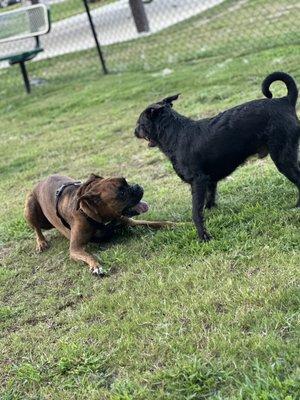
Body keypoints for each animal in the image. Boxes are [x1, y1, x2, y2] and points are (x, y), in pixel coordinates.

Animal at [24, 173, 172, 276]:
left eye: (127, 182)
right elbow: (89, 255)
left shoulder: (131, 222)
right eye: (122, 193)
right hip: (30, 207)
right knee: (37, 228)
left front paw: (175, 224)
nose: (137, 186)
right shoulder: (75, 249)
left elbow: (157, 223)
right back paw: (41, 242)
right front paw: (96, 266)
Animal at [135, 72, 298, 241]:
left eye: (139, 124)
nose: (134, 132)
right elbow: (209, 199)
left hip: (283, 159)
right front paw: (211, 211)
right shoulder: (209, 181)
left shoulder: (198, 181)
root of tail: (284, 101)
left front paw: (203, 235)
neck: (175, 134)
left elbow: (196, 211)